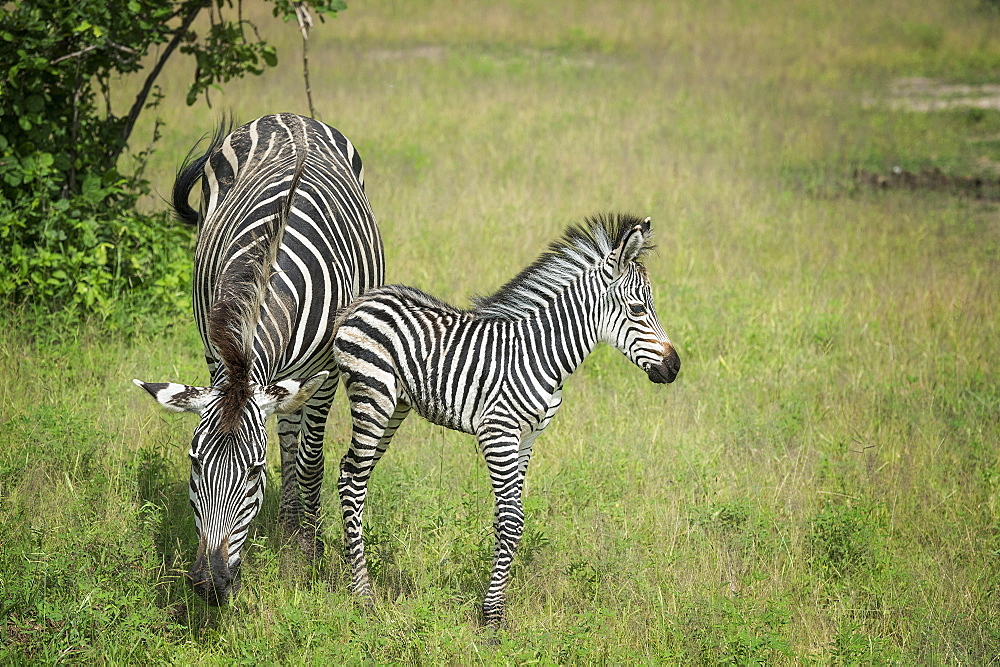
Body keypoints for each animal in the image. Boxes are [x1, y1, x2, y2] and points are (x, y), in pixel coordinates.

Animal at [133, 113, 382, 604]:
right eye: (194, 463)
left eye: (253, 473)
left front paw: (306, 556)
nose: (209, 583)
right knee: (285, 434)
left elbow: (309, 461)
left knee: (298, 444)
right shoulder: (219, 356)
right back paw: (287, 526)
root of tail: (290, 117)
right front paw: (292, 540)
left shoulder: (324, 375)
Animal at [332, 213, 684, 628]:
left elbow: (506, 519)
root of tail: (361, 302)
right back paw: (364, 598)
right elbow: (513, 520)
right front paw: (491, 619)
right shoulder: (498, 432)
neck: (543, 352)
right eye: (637, 309)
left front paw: (495, 608)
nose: (674, 367)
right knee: (352, 480)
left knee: (354, 474)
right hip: (372, 397)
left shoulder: (527, 438)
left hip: (394, 407)